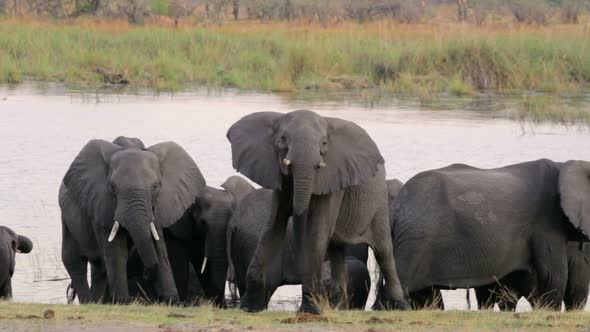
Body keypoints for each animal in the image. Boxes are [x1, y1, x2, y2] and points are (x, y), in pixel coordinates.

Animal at [60, 136, 206, 304]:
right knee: (74, 261)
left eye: (156, 187)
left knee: (99, 267)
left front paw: (172, 301)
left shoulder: (160, 204)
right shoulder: (102, 204)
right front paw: (122, 302)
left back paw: (96, 302)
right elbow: (116, 251)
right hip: (66, 217)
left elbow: (159, 245)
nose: (147, 274)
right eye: (112, 187)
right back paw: (89, 303)